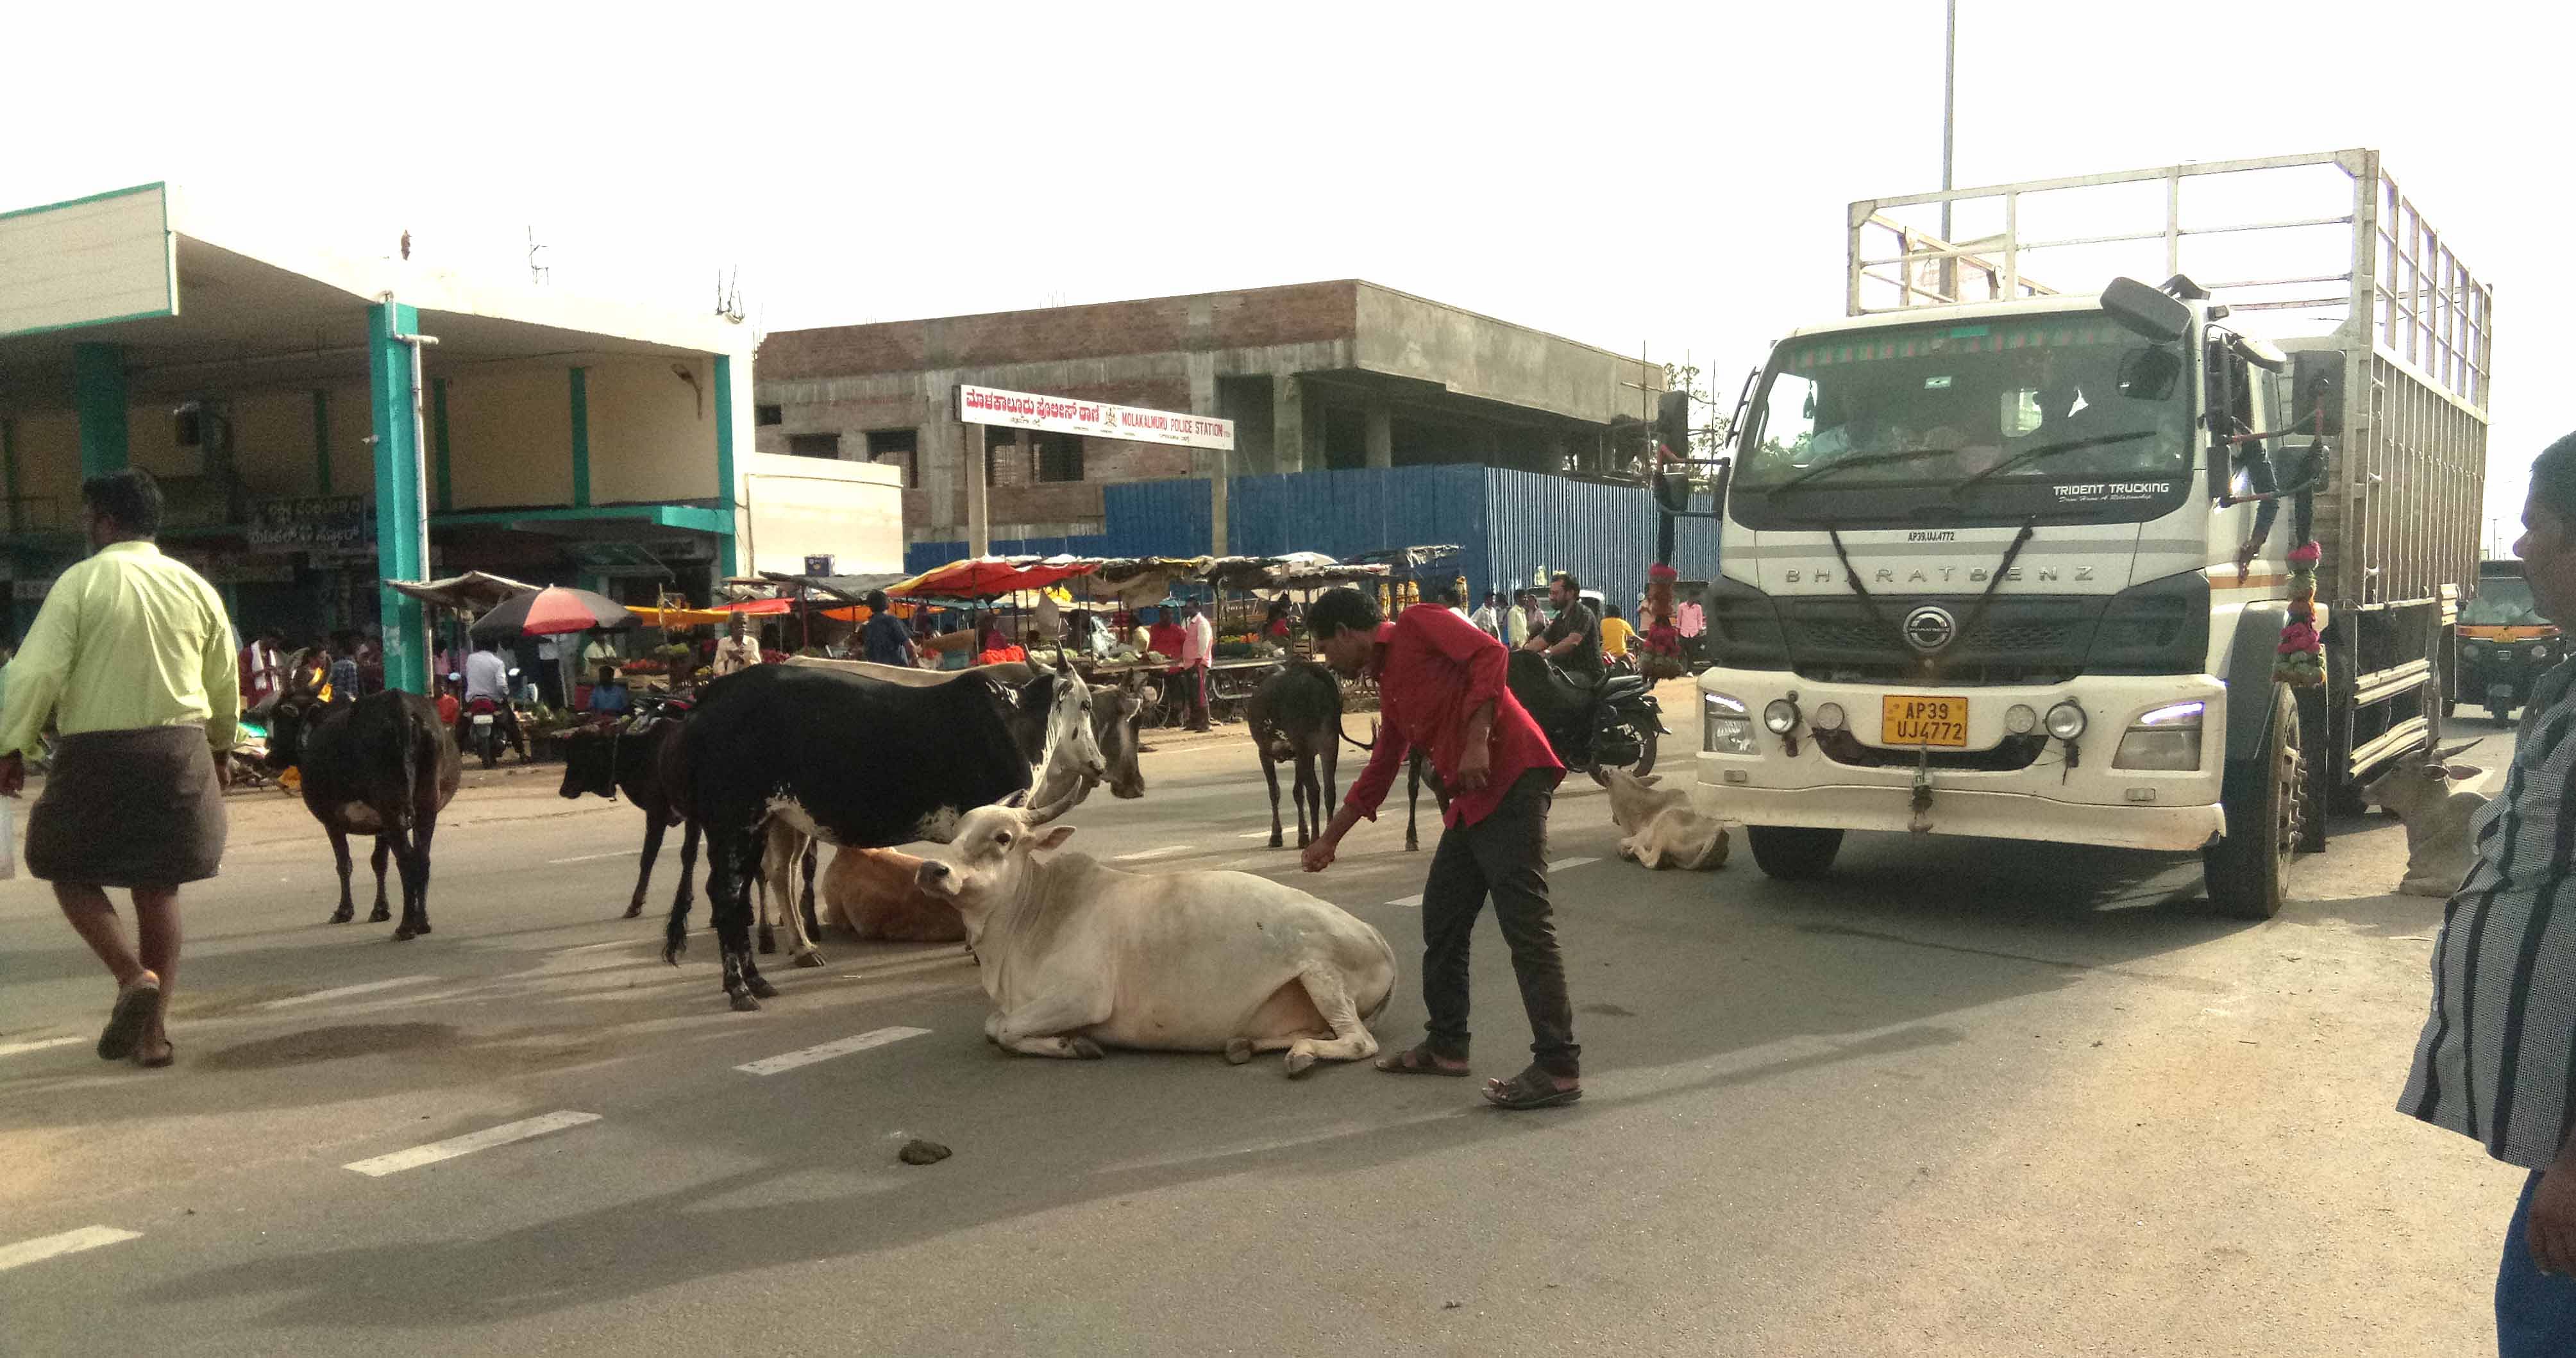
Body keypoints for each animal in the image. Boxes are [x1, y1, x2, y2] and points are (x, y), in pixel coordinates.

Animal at [264, 685, 466, 943]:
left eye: (279, 717)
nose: (269, 758)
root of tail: (401, 709)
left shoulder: (331, 820)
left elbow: (344, 864)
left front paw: (344, 911)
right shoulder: (381, 825)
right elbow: (379, 862)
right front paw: (380, 910)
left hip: (392, 807)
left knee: (407, 859)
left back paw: (406, 926)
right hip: (424, 805)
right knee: (422, 857)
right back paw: (422, 921)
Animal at [917, 793, 1401, 1077]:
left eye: (1003, 837)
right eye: (956, 833)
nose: (931, 870)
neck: (1032, 917)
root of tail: (1380, 941)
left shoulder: (1082, 997)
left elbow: (1000, 1028)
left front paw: (1075, 1045)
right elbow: (993, 1025)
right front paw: (1071, 1042)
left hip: (1321, 973)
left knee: (1359, 1040)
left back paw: (1301, 1056)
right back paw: (1245, 1044)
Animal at [1597, 778, 1741, 871]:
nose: (1613, 818)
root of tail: (1717, 837)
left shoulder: (1642, 836)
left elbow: (1620, 842)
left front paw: (1625, 852)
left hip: (1664, 827)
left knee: (1653, 861)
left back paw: (1632, 852)